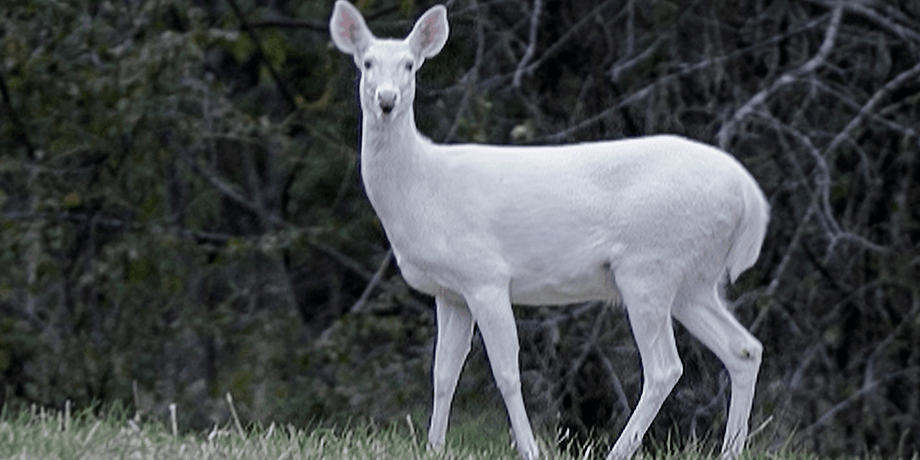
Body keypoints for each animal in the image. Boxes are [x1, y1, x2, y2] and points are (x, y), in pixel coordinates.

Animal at [328, 2, 769, 459]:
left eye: (410, 65)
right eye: (366, 63)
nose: (386, 101)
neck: (421, 188)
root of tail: (749, 195)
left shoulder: (485, 275)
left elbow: (506, 372)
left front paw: (529, 448)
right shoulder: (450, 292)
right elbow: (443, 374)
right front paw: (434, 446)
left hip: (650, 265)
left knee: (665, 368)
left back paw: (619, 450)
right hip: (693, 278)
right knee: (744, 349)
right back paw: (730, 449)